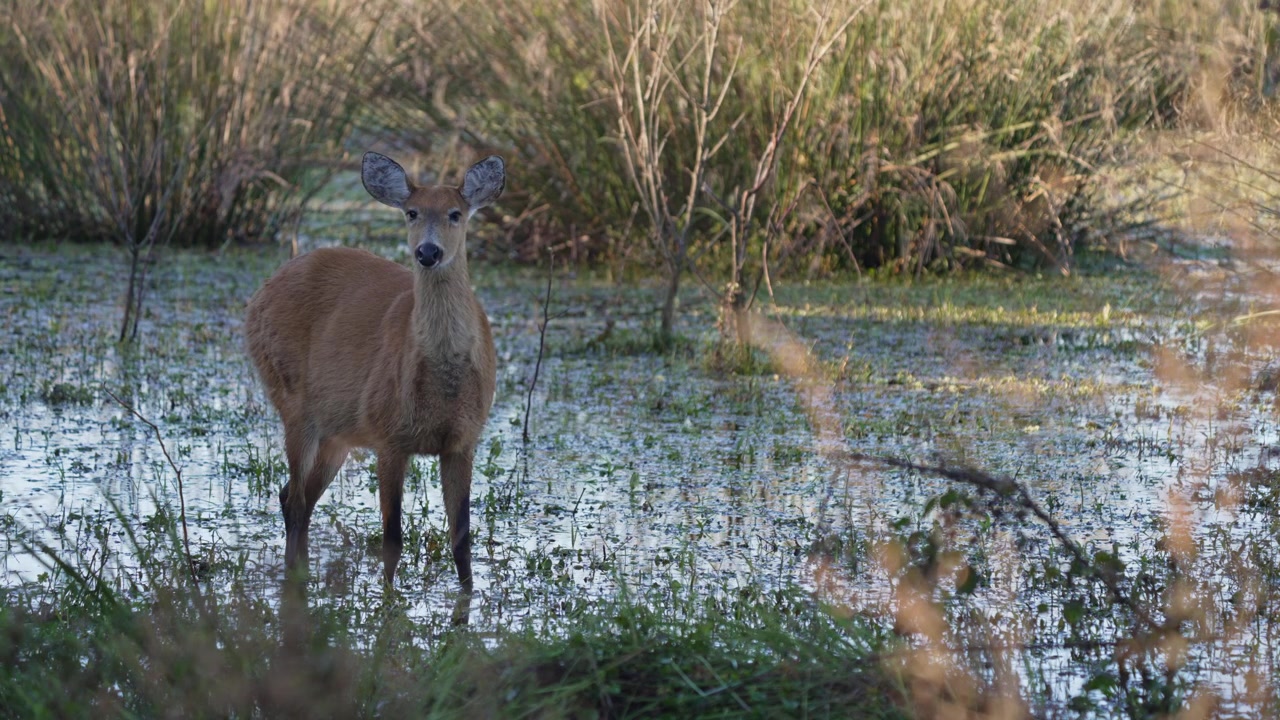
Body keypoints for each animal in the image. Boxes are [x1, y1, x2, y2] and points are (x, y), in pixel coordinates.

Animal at [244, 152, 503, 588]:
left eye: (455, 213)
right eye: (412, 212)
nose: (428, 252)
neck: (443, 386)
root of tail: (261, 291)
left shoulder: (463, 441)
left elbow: (462, 541)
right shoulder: (389, 436)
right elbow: (392, 539)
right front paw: (387, 602)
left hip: (337, 432)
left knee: (295, 496)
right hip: (292, 399)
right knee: (295, 499)